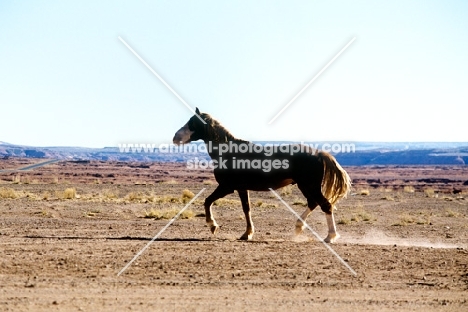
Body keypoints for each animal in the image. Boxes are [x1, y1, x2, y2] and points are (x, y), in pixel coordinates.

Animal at [173, 108, 352, 243]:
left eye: (193, 123)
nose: (175, 138)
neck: (229, 151)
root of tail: (319, 154)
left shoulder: (227, 187)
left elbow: (207, 201)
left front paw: (213, 226)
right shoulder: (241, 188)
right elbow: (246, 209)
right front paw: (247, 234)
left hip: (309, 185)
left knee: (325, 205)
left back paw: (330, 237)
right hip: (305, 186)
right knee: (313, 203)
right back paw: (298, 228)